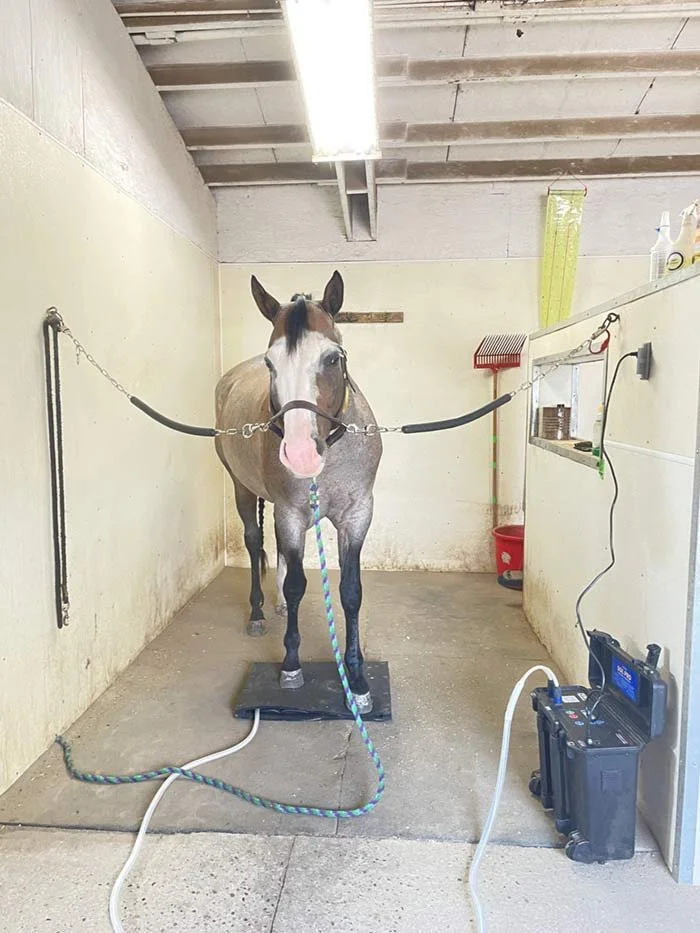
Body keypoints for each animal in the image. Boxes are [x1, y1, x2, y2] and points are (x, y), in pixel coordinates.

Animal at [215, 271, 382, 713]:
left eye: (332, 359)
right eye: (271, 363)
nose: (301, 453)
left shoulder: (357, 516)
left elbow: (351, 592)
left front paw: (357, 680)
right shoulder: (290, 513)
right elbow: (296, 586)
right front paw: (291, 665)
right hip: (242, 489)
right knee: (255, 542)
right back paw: (259, 612)